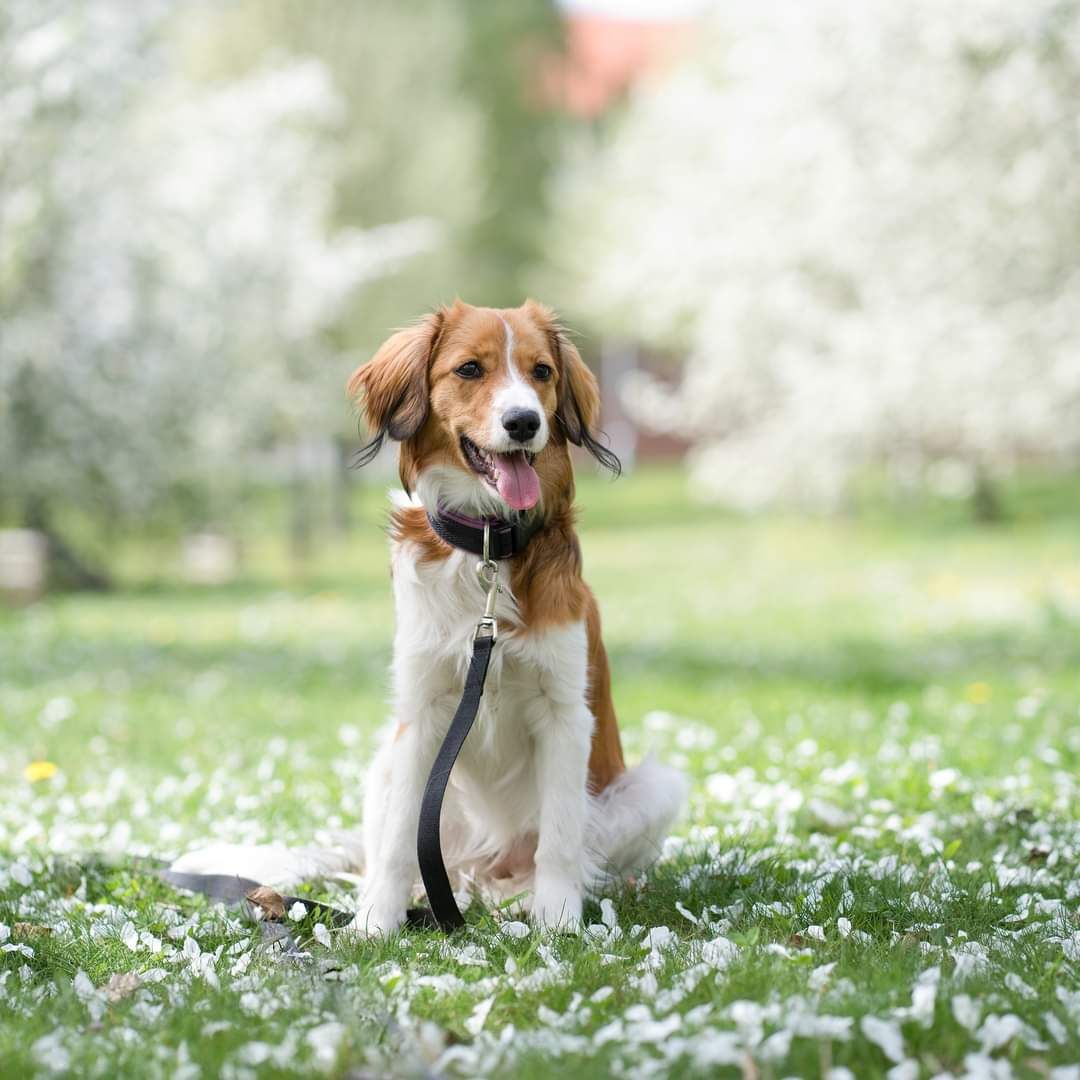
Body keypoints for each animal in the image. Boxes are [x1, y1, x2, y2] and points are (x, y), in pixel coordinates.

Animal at [173, 300, 686, 933]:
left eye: (541, 372)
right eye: (469, 369)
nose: (524, 422)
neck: (488, 543)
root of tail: (481, 866)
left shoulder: (565, 712)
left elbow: (561, 839)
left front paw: (559, 920)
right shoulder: (420, 716)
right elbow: (399, 839)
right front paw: (375, 923)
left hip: (653, 788)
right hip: (385, 766)